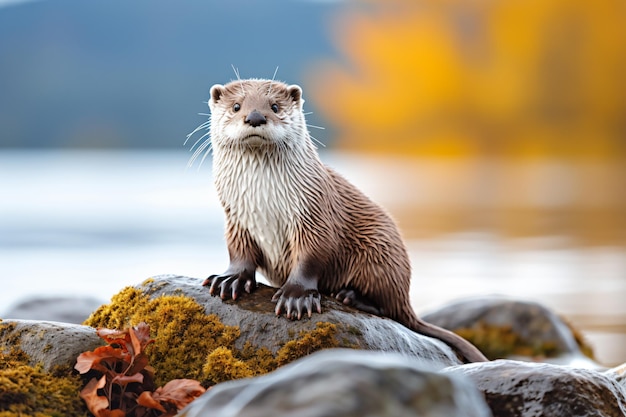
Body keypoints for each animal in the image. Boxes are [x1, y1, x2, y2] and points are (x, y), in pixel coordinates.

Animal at [197, 77, 486, 360]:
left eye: (275, 106)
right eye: (236, 106)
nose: (255, 116)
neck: (265, 201)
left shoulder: (314, 215)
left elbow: (310, 257)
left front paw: (296, 296)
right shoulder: (237, 219)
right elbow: (239, 253)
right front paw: (230, 280)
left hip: (381, 251)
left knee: (391, 309)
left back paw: (350, 296)